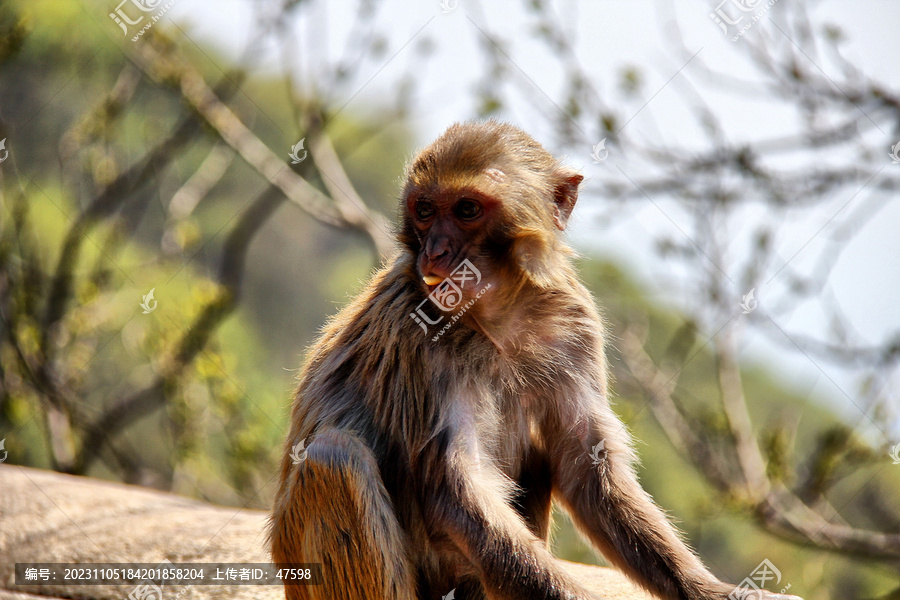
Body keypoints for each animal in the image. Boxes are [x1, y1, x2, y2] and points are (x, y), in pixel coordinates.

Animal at [268, 120, 800, 600]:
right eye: (424, 211)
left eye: (467, 209)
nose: (436, 252)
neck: (498, 316)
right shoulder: (416, 335)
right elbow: (456, 483)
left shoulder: (576, 326)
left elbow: (587, 466)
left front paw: (711, 589)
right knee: (336, 455)